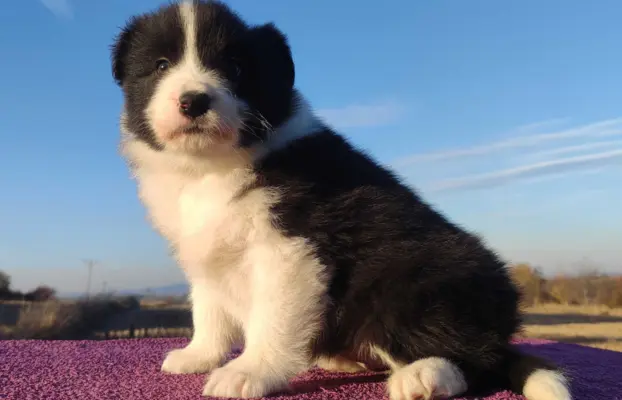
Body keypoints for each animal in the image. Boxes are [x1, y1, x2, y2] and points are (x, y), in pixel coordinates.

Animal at [111, 0, 572, 400]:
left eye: (236, 68)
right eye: (161, 65)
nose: (193, 101)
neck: (212, 167)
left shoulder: (290, 249)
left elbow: (271, 319)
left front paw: (249, 372)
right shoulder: (207, 249)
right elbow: (209, 309)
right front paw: (198, 356)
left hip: (409, 285)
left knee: (477, 359)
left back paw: (424, 375)